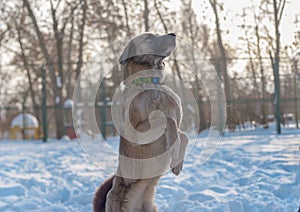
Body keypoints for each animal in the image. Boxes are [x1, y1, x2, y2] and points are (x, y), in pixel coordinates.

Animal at [92, 32, 189, 212]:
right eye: (149, 37)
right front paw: (174, 148)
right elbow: (167, 119)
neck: (150, 83)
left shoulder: (176, 123)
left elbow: (183, 134)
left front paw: (177, 162)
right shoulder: (136, 133)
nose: (173, 34)